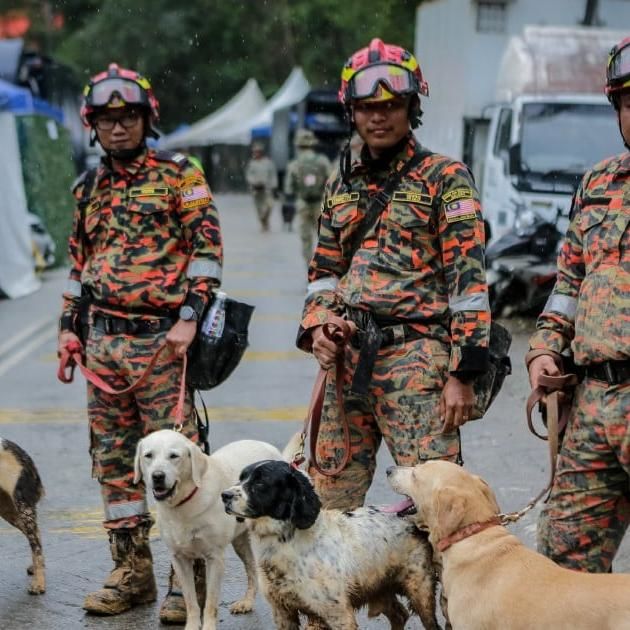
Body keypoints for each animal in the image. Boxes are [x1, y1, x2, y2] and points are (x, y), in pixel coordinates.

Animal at [134, 432, 284, 630]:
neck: (183, 506)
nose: (157, 476)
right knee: (251, 567)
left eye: (174, 456)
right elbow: (190, 601)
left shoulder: (215, 559)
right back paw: (247, 602)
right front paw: (191, 625)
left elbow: (211, 603)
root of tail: (267, 445)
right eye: (148, 455)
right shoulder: (179, 559)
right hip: (240, 541)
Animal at [223, 460, 444, 630]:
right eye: (241, 478)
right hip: (380, 586)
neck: (286, 542)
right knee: (400, 614)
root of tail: (413, 521)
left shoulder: (338, 614)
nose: (224, 495)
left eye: (260, 483)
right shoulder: (282, 611)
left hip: (420, 590)